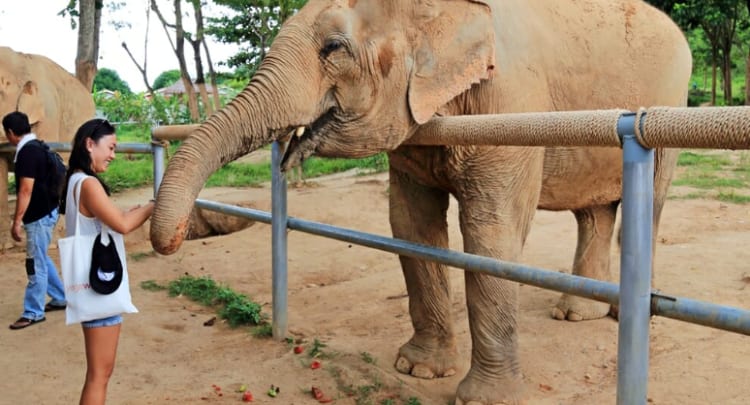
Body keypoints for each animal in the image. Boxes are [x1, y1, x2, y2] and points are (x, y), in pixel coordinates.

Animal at [148, 1, 692, 402]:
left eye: (333, 48)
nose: (171, 240)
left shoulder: (509, 99)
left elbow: (490, 231)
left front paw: (482, 399)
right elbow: (410, 226)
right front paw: (416, 370)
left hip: (667, 108)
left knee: (649, 202)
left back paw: (620, 315)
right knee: (593, 211)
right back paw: (577, 314)